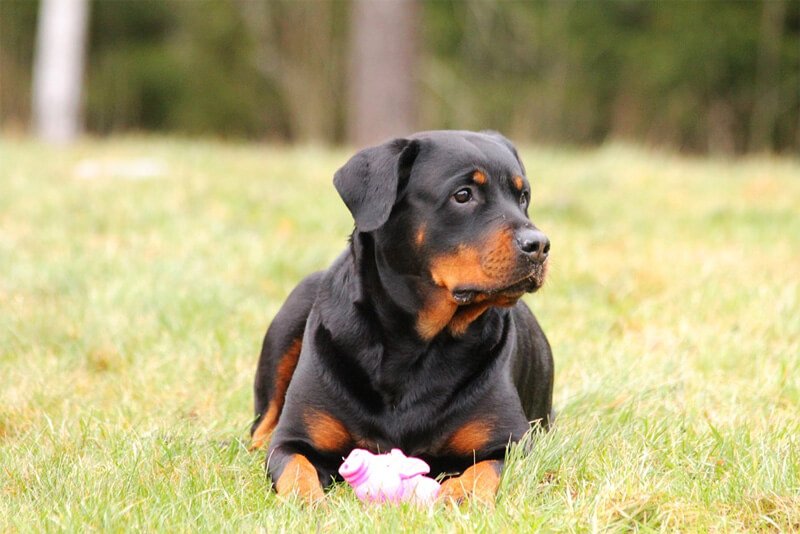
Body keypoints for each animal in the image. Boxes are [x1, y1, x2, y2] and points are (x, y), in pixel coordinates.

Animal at [250, 131, 552, 506]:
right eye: (463, 195)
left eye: (522, 196)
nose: (539, 245)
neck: (414, 343)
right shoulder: (293, 440)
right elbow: (296, 467)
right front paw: (308, 502)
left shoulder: (511, 443)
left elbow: (484, 470)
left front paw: (458, 494)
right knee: (261, 426)